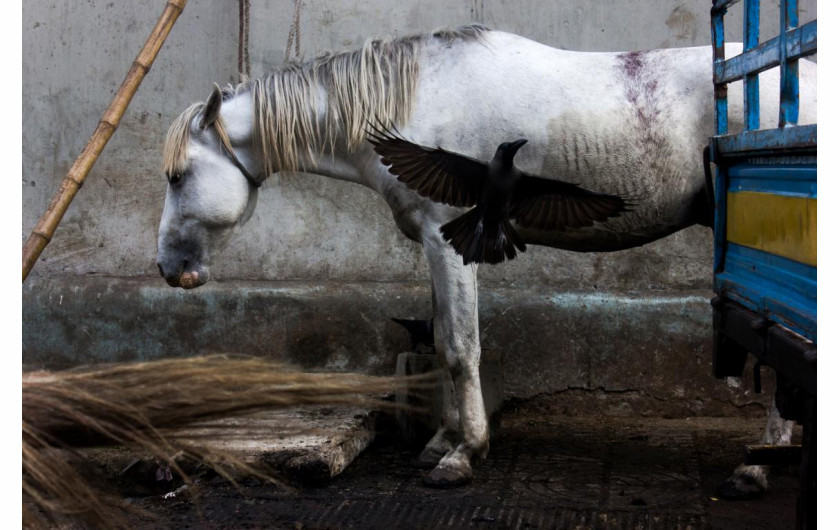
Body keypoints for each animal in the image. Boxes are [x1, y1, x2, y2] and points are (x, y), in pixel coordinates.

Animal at [156, 24, 812, 486]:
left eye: (178, 175)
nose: (168, 268)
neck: (410, 106)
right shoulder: (437, 245)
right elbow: (443, 336)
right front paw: (442, 443)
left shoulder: (450, 242)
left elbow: (459, 348)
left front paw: (464, 454)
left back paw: (757, 466)